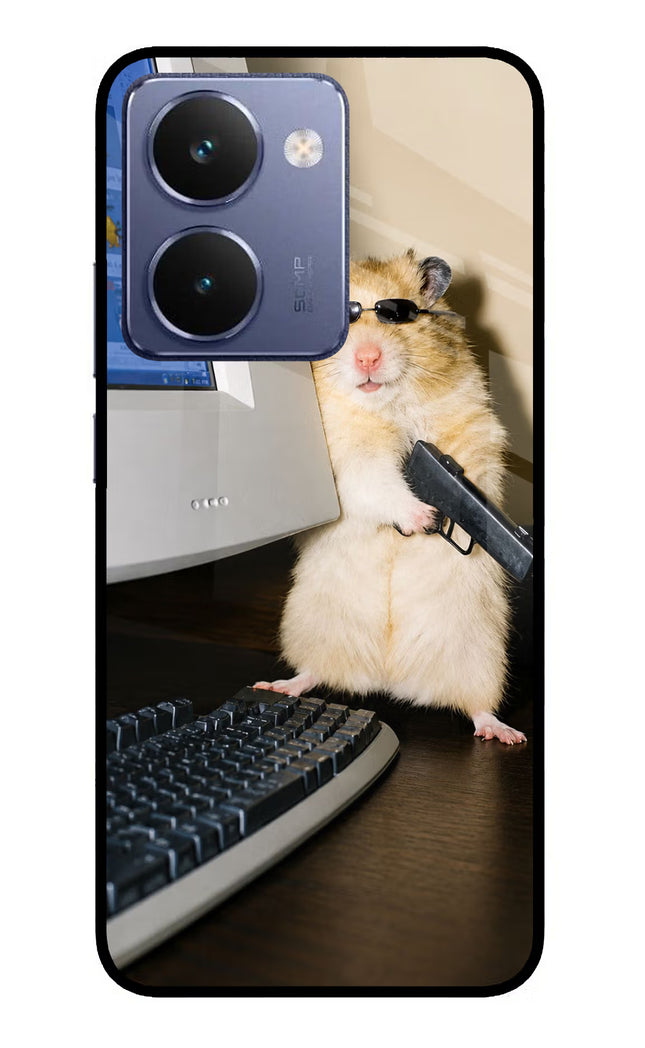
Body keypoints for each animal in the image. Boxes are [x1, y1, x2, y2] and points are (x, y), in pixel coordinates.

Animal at [256, 251, 526, 744]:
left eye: (397, 316)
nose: (368, 357)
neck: (386, 404)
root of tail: (388, 678)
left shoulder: (471, 427)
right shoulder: (348, 459)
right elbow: (378, 483)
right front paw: (423, 518)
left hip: (480, 654)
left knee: (477, 706)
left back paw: (504, 733)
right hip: (311, 627)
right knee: (314, 672)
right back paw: (279, 685)